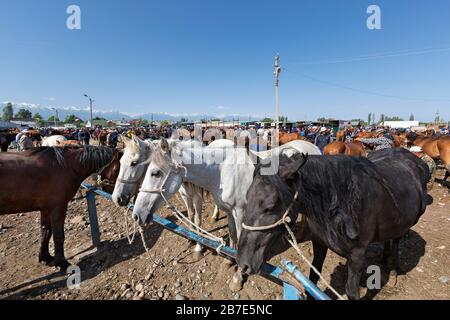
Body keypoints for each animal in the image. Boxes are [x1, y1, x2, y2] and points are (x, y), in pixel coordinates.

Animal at [132, 138, 322, 292]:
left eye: (155, 173)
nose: (136, 215)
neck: (222, 171)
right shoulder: (231, 212)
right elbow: (232, 236)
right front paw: (229, 260)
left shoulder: (241, 215)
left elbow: (241, 242)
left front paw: (237, 277)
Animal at [237, 148, 430, 300]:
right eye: (247, 197)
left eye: (270, 206)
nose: (243, 263)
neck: (343, 206)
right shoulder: (319, 242)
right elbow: (313, 278)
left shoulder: (357, 255)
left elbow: (351, 292)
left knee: (398, 239)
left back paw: (393, 269)